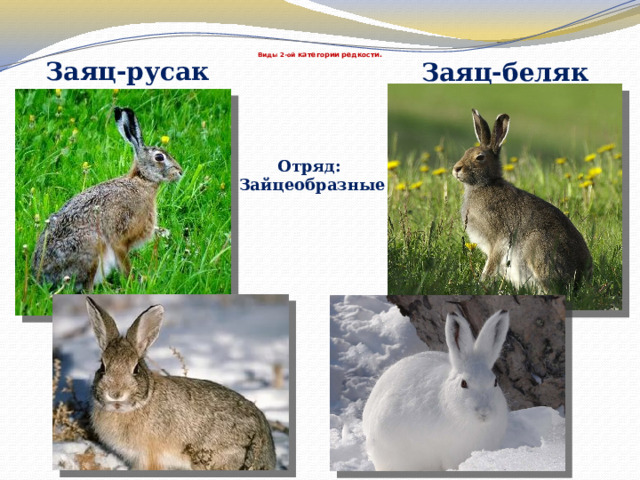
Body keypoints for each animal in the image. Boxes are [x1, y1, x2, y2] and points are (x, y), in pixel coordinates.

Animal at [31, 107, 183, 291]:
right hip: (91, 248)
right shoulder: (120, 237)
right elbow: (124, 263)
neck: (142, 180)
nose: (180, 172)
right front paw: (132, 282)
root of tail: (41, 276)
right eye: (159, 157)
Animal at [452, 109, 592, 293]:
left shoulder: (499, 238)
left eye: (479, 157)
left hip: (537, 249)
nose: (456, 169)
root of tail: (580, 277)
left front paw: (481, 284)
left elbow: (491, 264)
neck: (486, 183)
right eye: (466, 151)